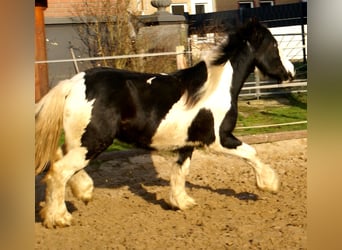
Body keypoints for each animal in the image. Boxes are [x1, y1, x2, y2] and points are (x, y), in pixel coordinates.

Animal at [36, 18, 294, 228]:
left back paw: (81, 194)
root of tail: (74, 83)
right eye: (273, 45)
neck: (214, 88)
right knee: (59, 171)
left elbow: (180, 171)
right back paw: (59, 218)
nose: (290, 73)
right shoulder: (219, 139)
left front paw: (181, 202)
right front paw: (269, 184)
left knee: (59, 161)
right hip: (92, 141)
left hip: (80, 141)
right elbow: (252, 153)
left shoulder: (188, 144)